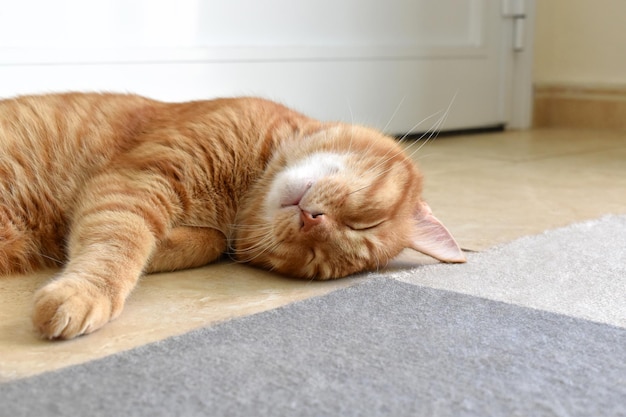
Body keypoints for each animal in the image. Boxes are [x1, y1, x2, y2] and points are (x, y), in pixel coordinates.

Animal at [0, 93, 464, 338]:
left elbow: (205, 242)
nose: (311, 221)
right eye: (364, 222)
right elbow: (121, 241)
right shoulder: (137, 180)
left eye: (313, 259)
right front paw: (86, 290)